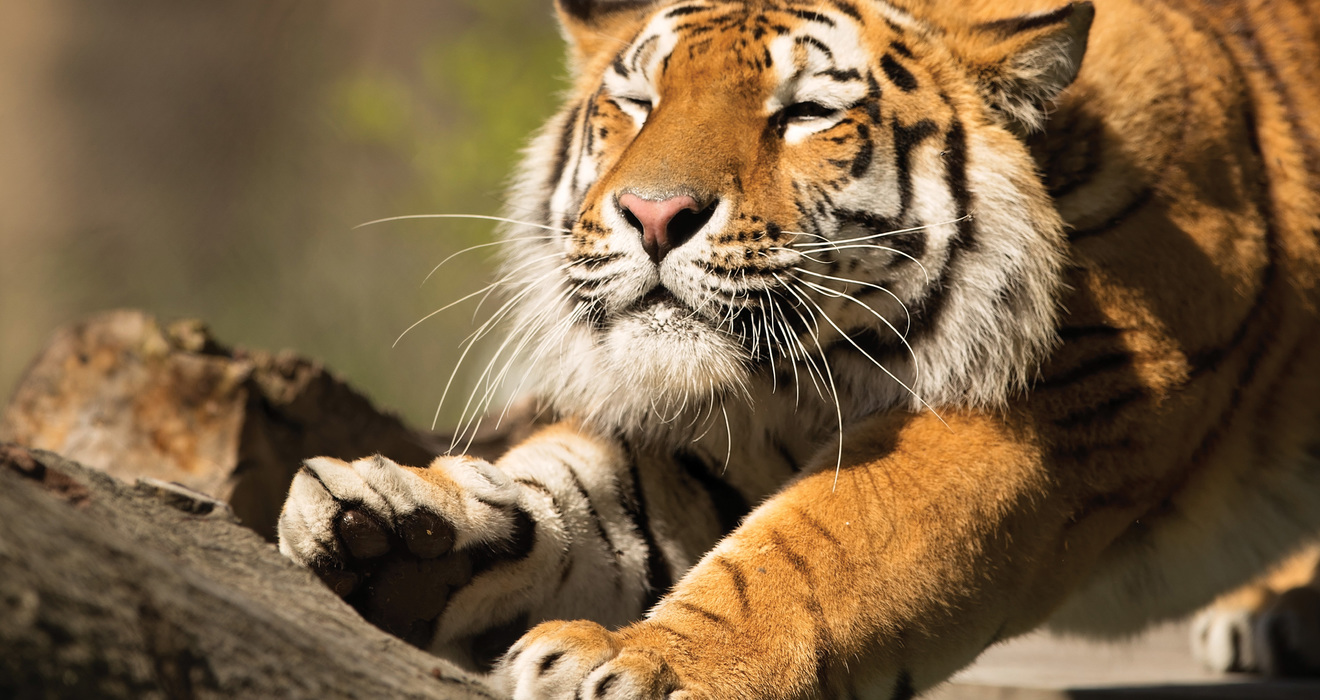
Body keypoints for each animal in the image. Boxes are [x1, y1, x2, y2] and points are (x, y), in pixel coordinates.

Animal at [276, 0, 1320, 696]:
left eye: (806, 115)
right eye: (638, 101)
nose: (653, 214)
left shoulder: (1038, 417)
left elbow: (809, 551)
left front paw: (639, 663)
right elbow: (575, 489)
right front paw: (396, 524)